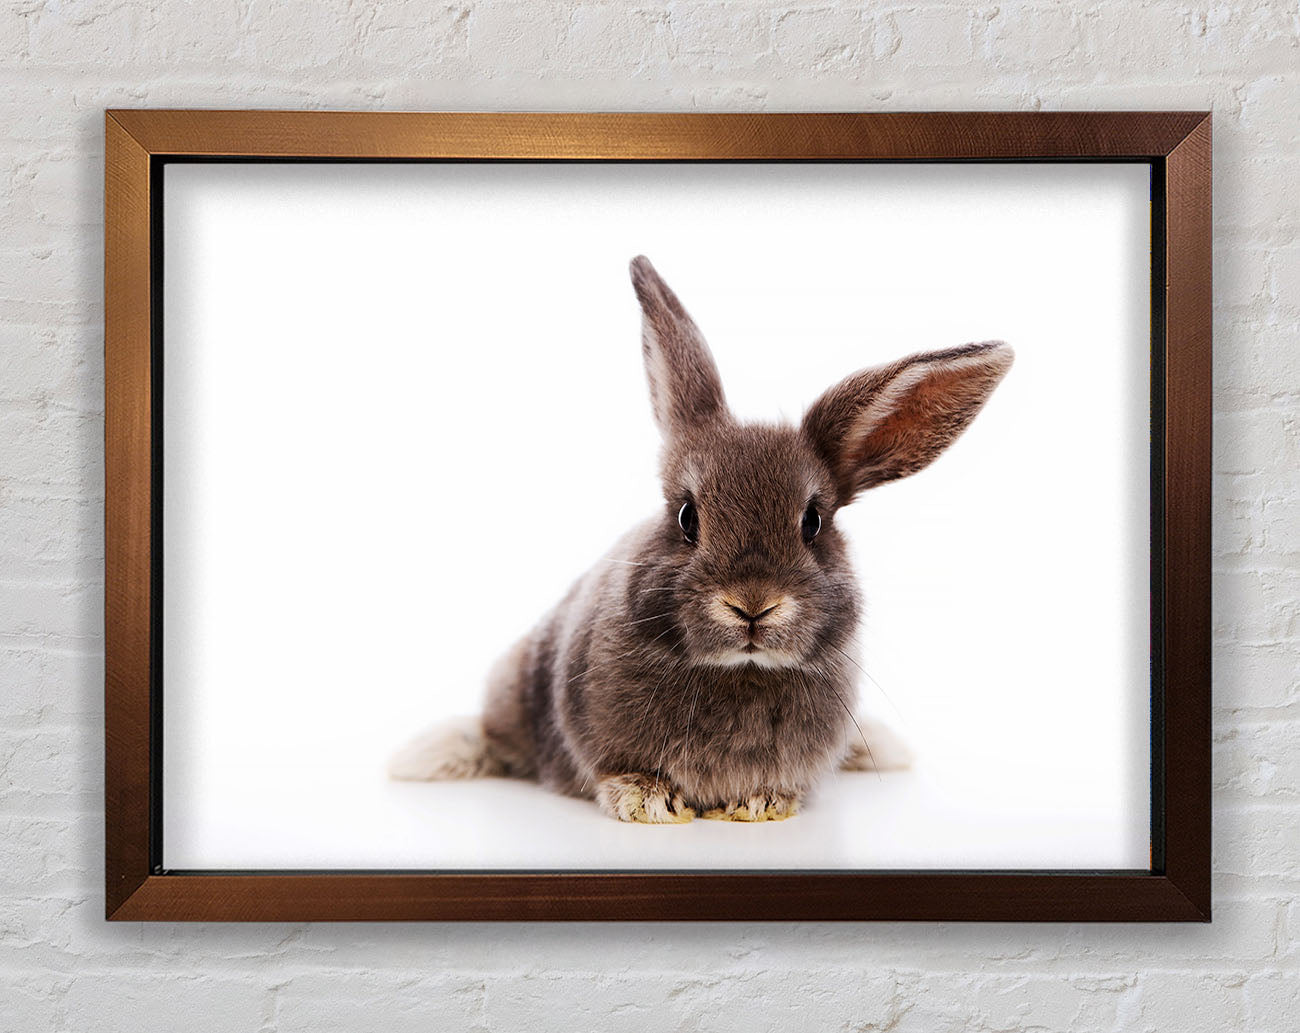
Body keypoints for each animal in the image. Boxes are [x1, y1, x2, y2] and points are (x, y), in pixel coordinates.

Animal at [390, 256, 1013, 823]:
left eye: (813, 522)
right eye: (688, 517)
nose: (753, 604)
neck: (740, 670)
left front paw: (762, 804)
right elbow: (615, 772)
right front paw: (646, 800)